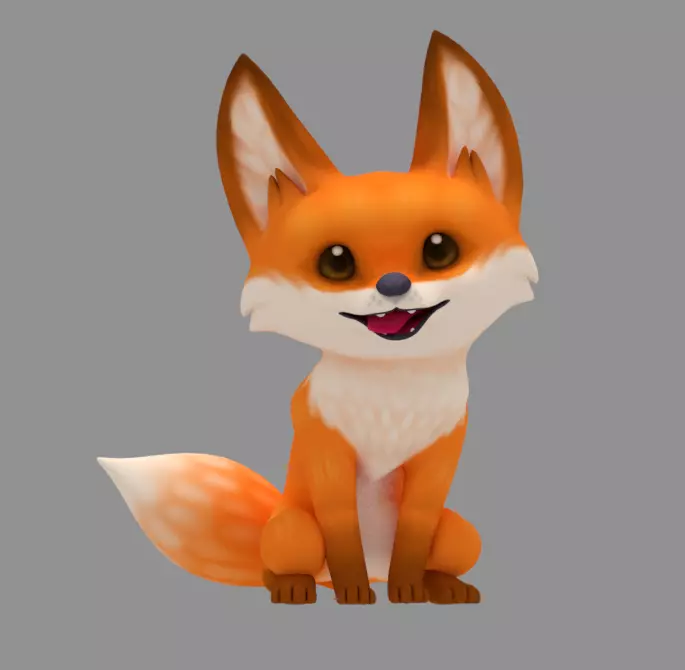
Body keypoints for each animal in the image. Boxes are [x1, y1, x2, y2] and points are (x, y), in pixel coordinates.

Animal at [98, 30, 538, 605]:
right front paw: (354, 593)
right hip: (292, 528)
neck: (393, 398)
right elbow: (341, 529)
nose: (392, 284)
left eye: (440, 250)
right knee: (283, 563)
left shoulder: (439, 459)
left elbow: (416, 532)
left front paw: (409, 590)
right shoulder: (327, 454)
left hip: (462, 531)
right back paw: (297, 586)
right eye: (336, 262)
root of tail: (378, 562)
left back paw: (439, 585)